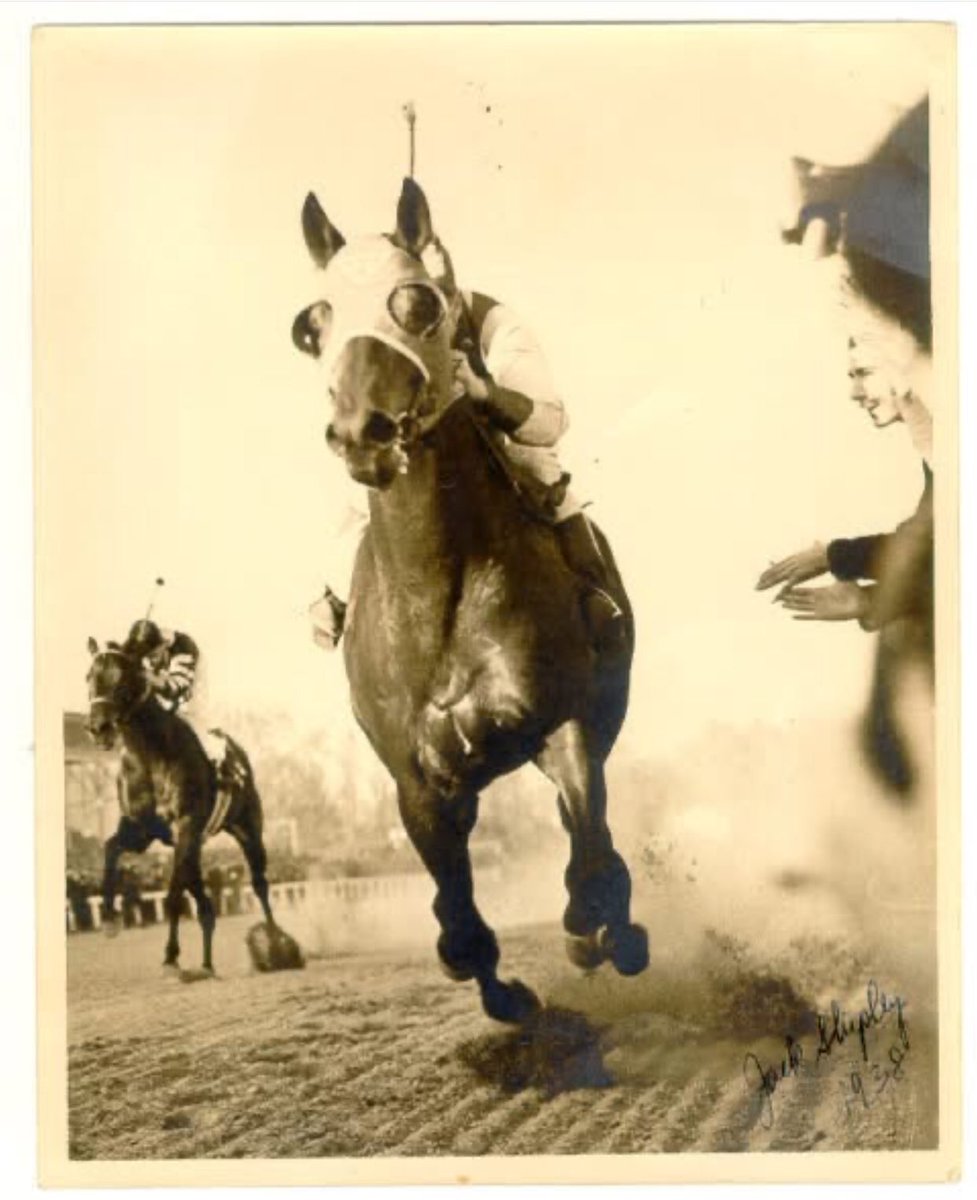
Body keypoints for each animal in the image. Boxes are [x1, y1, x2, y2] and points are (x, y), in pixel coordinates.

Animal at [85, 639, 285, 975]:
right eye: (89, 677)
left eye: (121, 679)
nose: (97, 728)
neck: (150, 754)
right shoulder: (141, 829)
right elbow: (110, 849)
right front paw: (110, 920)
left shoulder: (186, 825)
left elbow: (174, 896)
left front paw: (170, 956)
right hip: (195, 845)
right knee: (205, 903)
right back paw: (207, 964)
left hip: (247, 830)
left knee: (259, 884)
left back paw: (276, 945)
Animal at [292, 177, 649, 1023]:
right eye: (312, 324)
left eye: (416, 304)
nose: (360, 430)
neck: (439, 592)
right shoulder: (418, 782)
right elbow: (456, 921)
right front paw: (503, 991)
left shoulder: (563, 725)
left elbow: (589, 862)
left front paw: (598, 932)